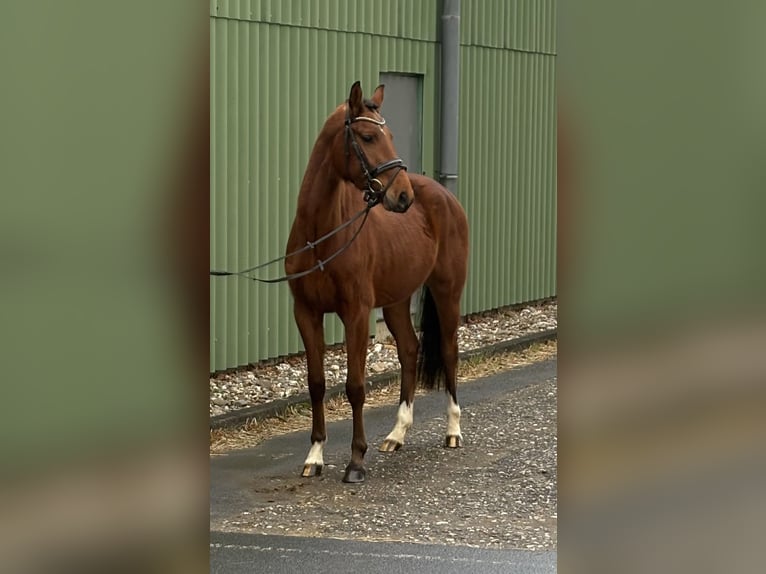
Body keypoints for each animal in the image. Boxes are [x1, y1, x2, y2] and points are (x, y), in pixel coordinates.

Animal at [286, 82, 472, 486]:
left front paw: (356, 462)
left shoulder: (356, 314)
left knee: (449, 351)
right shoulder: (306, 313)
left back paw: (453, 431)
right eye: (369, 137)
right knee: (409, 350)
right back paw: (396, 434)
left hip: (447, 291)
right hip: (397, 300)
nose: (403, 197)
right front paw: (315, 456)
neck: (321, 235)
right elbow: (316, 383)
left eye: (391, 137)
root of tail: (443, 195)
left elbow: (356, 386)